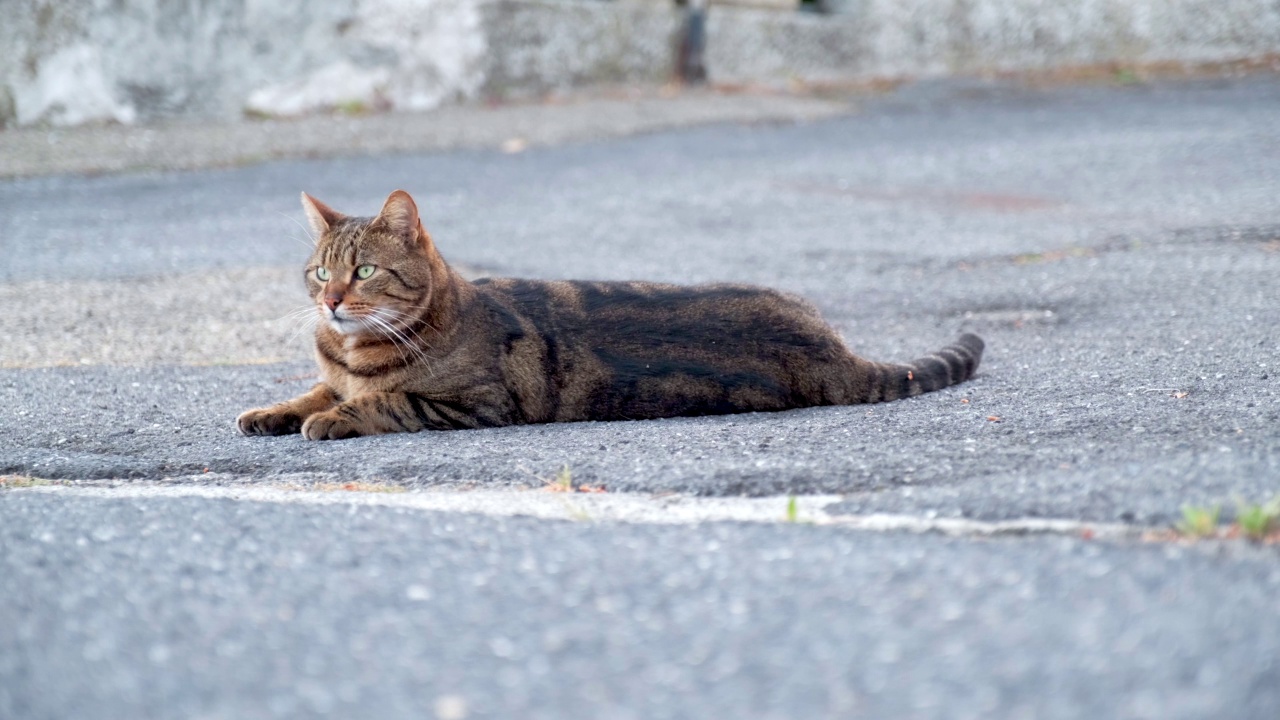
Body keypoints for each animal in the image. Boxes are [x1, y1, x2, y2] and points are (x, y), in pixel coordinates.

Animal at [235, 190, 983, 438]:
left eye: (364, 271)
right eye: (320, 271)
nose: (331, 301)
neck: (354, 351)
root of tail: (834, 346)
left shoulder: (473, 403)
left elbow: (381, 402)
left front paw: (333, 419)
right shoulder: (331, 372)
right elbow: (310, 391)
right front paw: (270, 411)